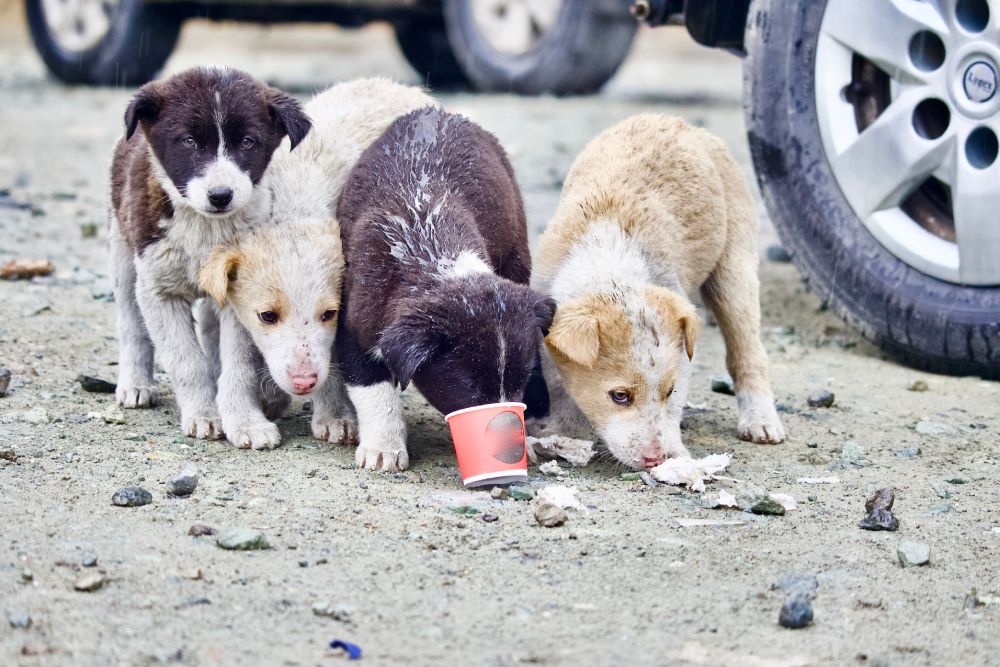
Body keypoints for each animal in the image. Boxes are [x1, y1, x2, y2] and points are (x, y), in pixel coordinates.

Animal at [107, 66, 306, 438]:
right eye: (189, 142)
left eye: (247, 142)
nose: (220, 195)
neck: (205, 228)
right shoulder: (159, 289)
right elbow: (187, 362)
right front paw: (203, 414)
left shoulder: (240, 293)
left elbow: (239, 365)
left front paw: (245, 421)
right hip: (122, 251)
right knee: (130, 321)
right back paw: (135, 383)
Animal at [197, 81, 436, 452]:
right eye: (267, 315)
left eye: (328, 313)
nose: (304, 382)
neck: (294, 204)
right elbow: (240, 353)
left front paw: (335, 416)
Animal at [336, 108, 556, 474]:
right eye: (469, 385)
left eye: (518, 381)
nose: (505, 436)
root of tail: (441, 112)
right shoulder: (354, 320)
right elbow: (372, 386)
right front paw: (384, 446)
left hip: (516, 248)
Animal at [536, 113, 784, 470]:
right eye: (620, 396)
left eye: (668, 391)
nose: (655, 458)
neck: (610, 265)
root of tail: (676, 120)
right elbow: (558, 385)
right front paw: (564, 432)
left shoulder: (681, 354)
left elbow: (673, 407)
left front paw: (674, 450)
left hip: (735, 264)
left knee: (747, 350)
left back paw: (760, 420)